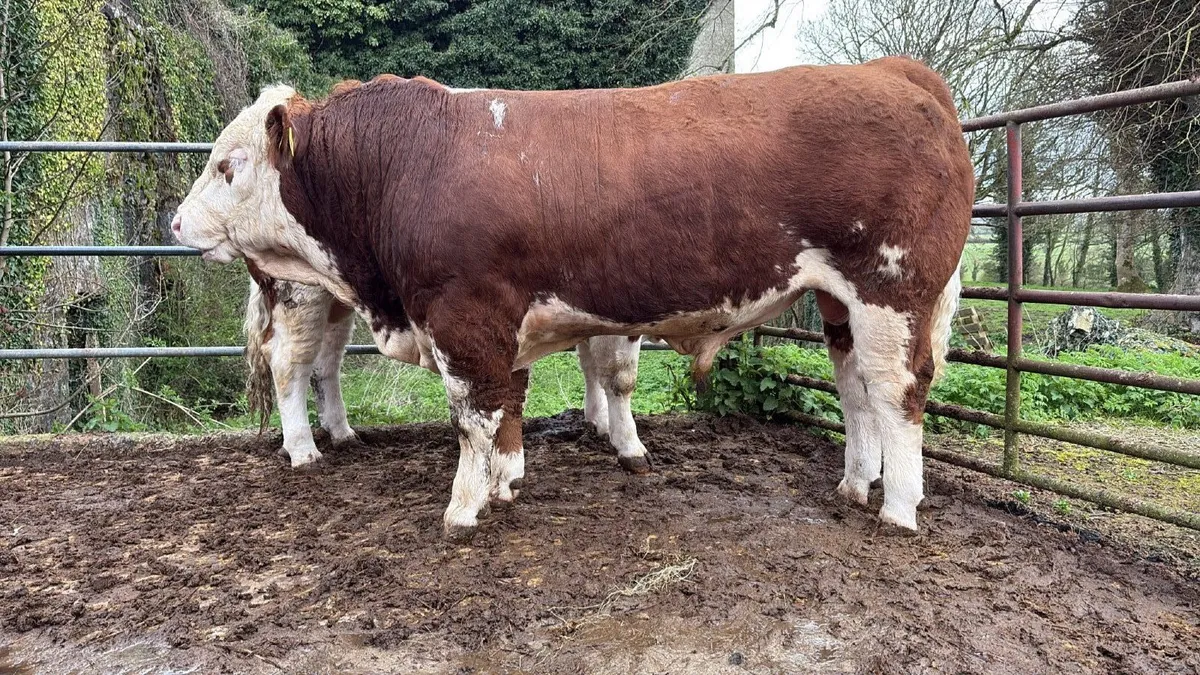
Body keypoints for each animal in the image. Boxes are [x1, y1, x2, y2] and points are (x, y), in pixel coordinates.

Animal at [241, 265, 651, 470]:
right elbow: (620, 376)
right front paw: (630, 446)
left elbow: (591, 363)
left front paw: (599, 423)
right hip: (299, 292)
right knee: (289, 364)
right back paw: (303, 451)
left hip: (336, 297)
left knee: (326, 362)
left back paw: (341, 432)